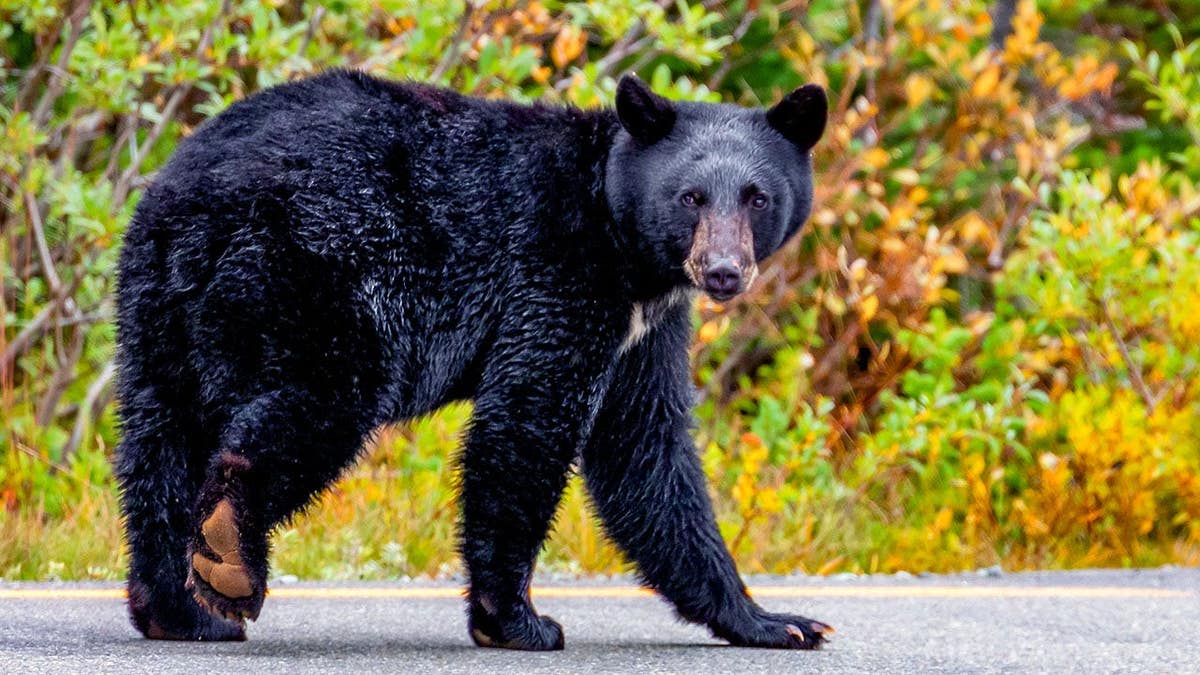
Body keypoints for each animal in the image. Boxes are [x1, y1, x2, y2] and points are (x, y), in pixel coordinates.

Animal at [114, 70, 829, 650]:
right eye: (691, 197)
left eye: (757, 197)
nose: (723, 270)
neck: (619, 236)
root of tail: (196, 197)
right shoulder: (558, 275)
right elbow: (528, 421)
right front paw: (516, 620)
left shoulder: (643, 330)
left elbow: (645, 450)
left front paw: (771, 620)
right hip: (321, 276)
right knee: (317, 404)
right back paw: (230, 554)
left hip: (156, 307)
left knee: (159, 445)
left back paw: (181, 611)